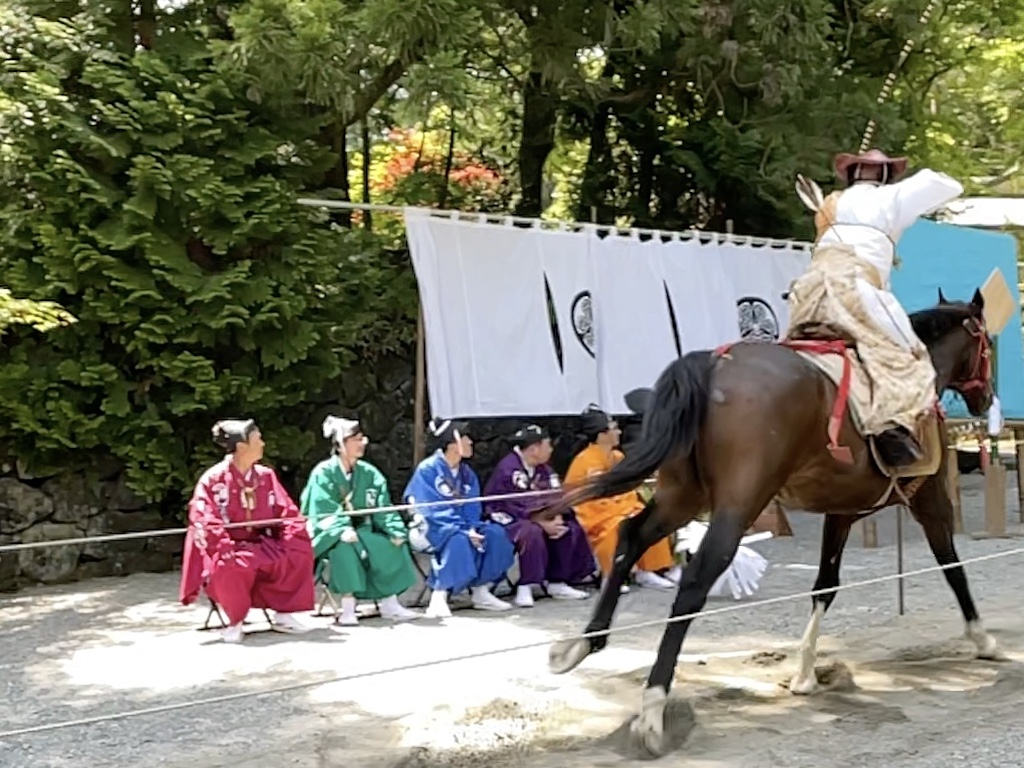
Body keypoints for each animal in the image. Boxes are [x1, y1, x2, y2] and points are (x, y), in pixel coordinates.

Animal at [544, 290, 999, 761]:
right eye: (989, 344)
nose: (986, 399)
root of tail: (714, 363)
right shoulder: (929, 500)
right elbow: (953, 568)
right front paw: (983, 639)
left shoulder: (842, 511)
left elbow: (825, 586)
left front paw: (804, 675)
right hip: (741, 498)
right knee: (698, 576)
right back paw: (652, 709)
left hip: (684, 494)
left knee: (632, 536)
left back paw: (583, 645)